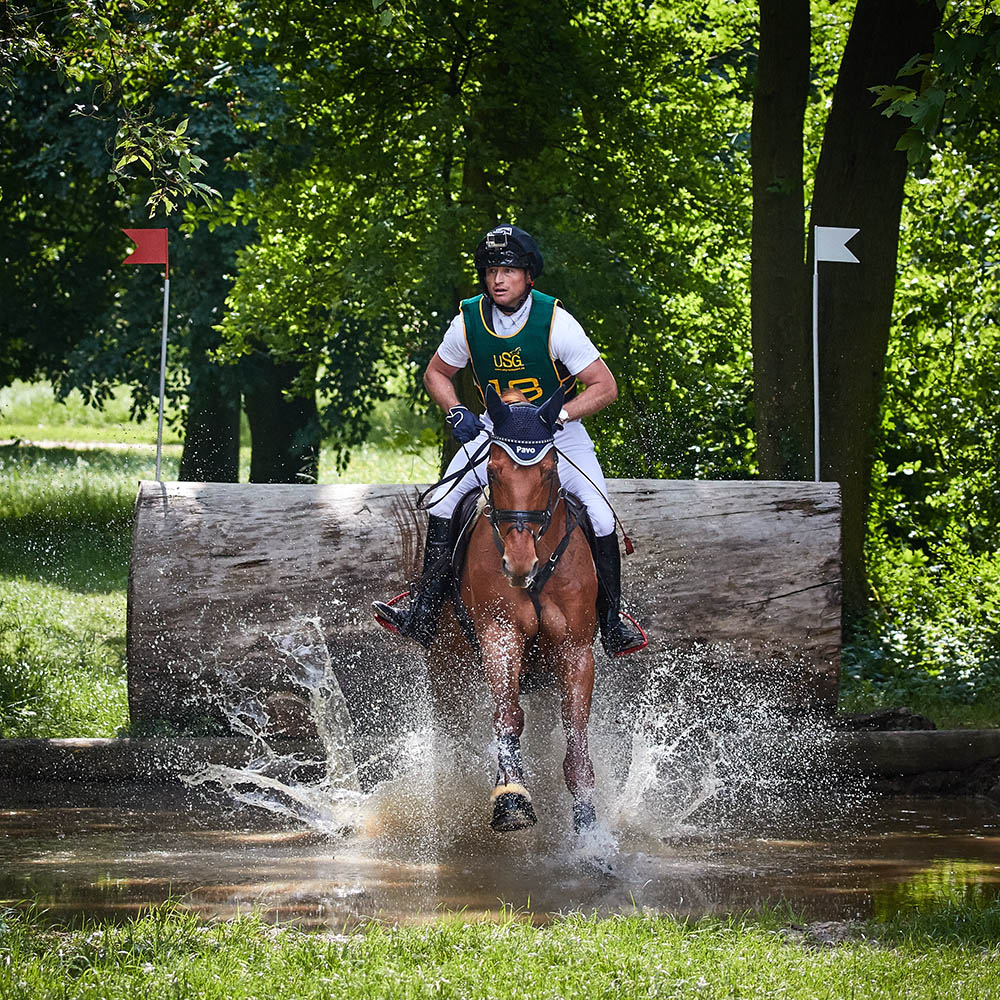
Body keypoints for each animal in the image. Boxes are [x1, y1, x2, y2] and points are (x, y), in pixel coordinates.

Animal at [434, 384, 596, 836]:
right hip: (446, 668)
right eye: (492, 471)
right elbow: (507, 716)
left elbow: (576, 735)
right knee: (455, 736)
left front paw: (589, 826)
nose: (519, 564)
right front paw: (510, 798)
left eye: (548, 471)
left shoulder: (576, 649)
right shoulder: (501, 632)